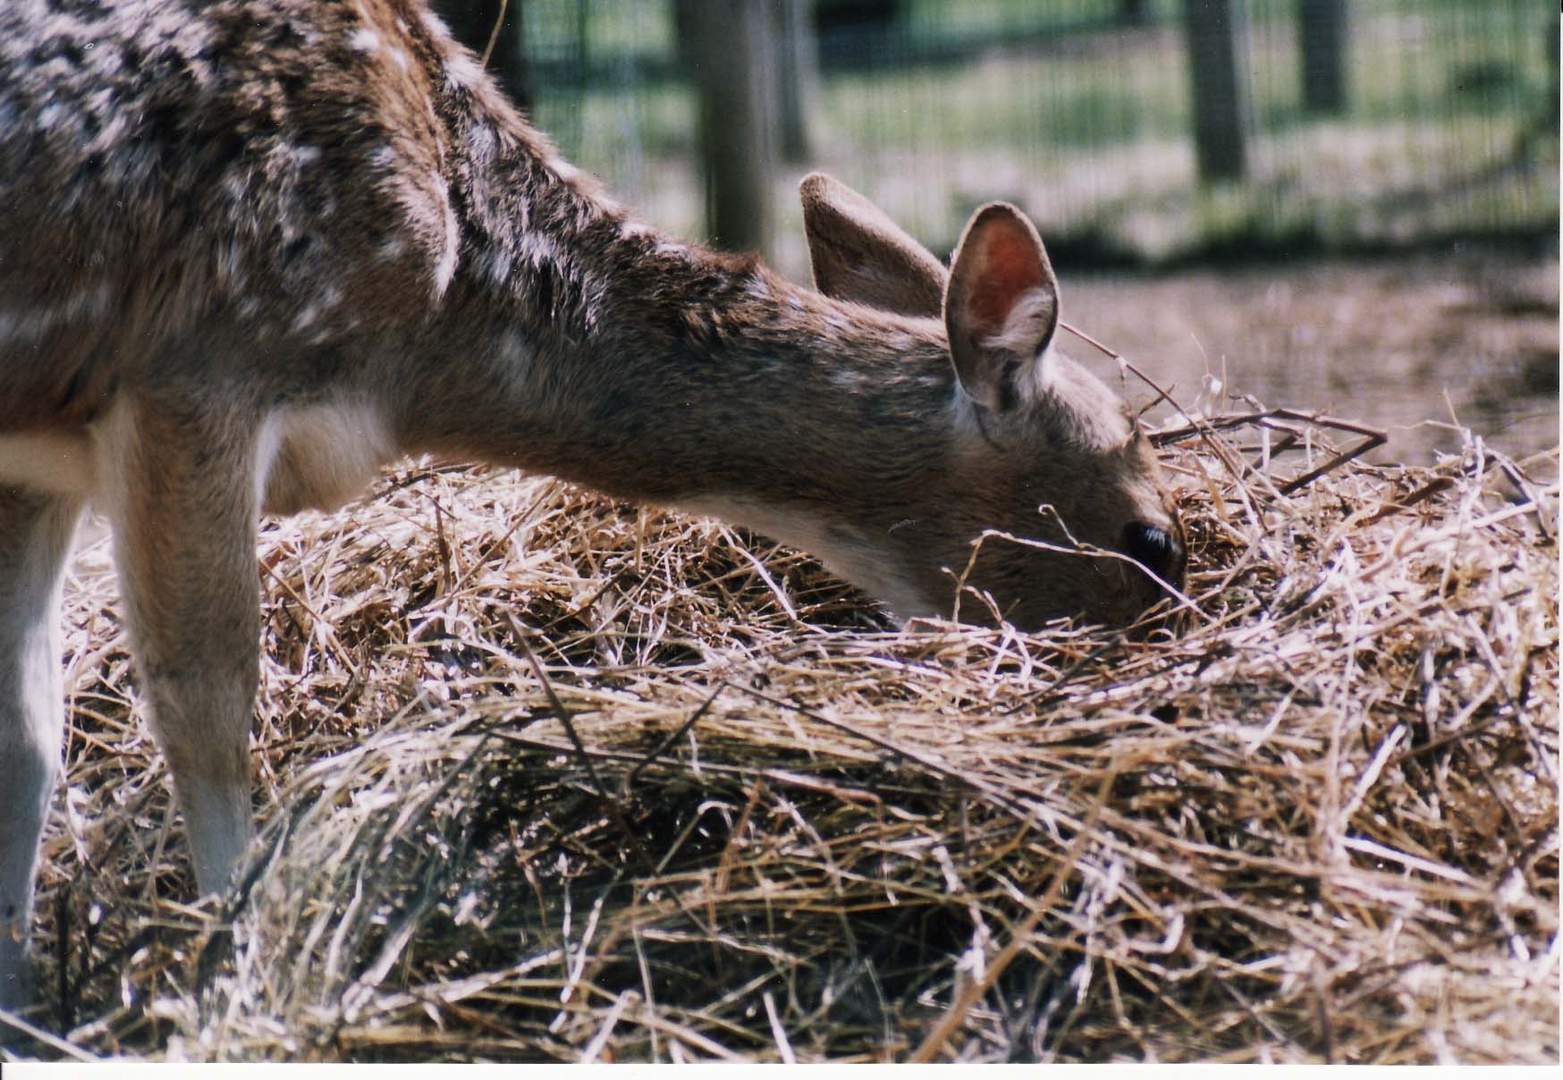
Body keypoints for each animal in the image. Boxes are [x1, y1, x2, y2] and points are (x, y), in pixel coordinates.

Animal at [0, 2, 1181, 1012]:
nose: (1173, 637)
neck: (432, 331)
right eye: (1151, 539)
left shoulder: (38, 461)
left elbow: (31, 737)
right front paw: (235, 986)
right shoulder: (198, 367)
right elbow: (205, 704)